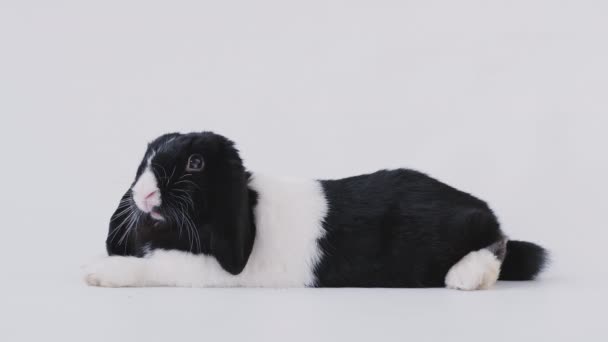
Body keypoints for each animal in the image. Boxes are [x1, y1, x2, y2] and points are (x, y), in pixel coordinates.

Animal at [84, 131, 548, 288]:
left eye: (195, 163)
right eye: (146, 158)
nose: (144, 194)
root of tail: (479, 207)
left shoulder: (204, 270)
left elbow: (152, 267)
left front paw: (99, 272)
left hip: (465, 233)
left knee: (499, 242)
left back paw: (465, 278)